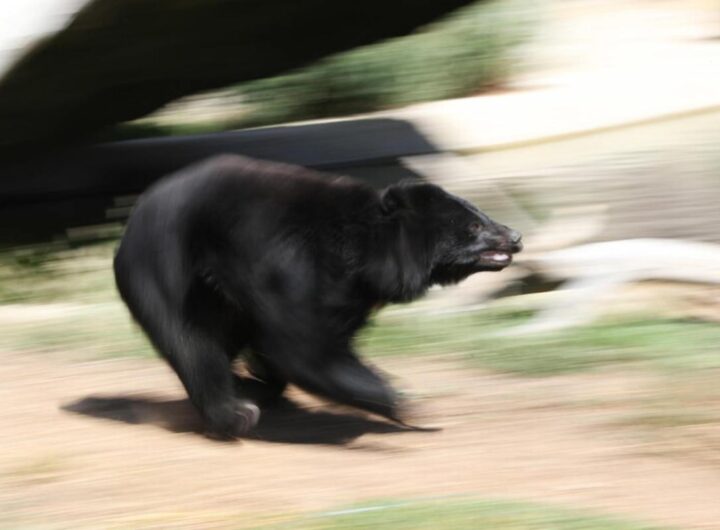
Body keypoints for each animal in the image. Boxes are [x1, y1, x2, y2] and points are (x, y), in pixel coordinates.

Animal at [113, 154, 522, 439]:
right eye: (474, 226)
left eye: (480, 214)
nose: (515, 236)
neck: (366, 252)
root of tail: (130, 226)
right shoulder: (291, 264)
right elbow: (303, 347)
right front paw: (407, 405)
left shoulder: (351, 294)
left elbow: (312, 340)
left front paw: (259, 381)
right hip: (168, 273)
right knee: (192, 343)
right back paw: (236, 415)